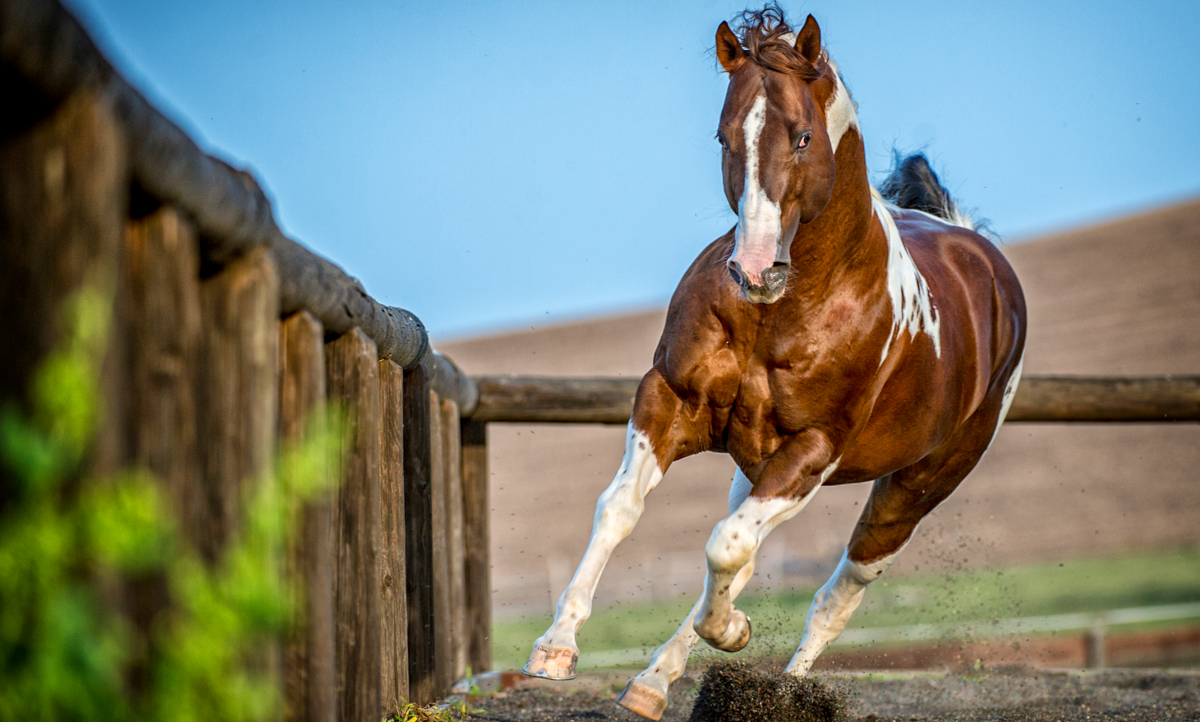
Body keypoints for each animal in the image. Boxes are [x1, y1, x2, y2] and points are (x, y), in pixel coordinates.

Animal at [520, 8, 1027, 714]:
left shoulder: (813, 451)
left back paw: (783, 685)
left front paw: (735, 635)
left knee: (835, 595)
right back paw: (652, 682)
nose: (755, 270)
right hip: (754, 466)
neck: (785, 311)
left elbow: (727, 546)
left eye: (804, 136)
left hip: (913, 489)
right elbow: (622, 509)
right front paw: (555, 649)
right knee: (746, 557)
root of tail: (974, 243)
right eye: (724, 135)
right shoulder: (670, 400)